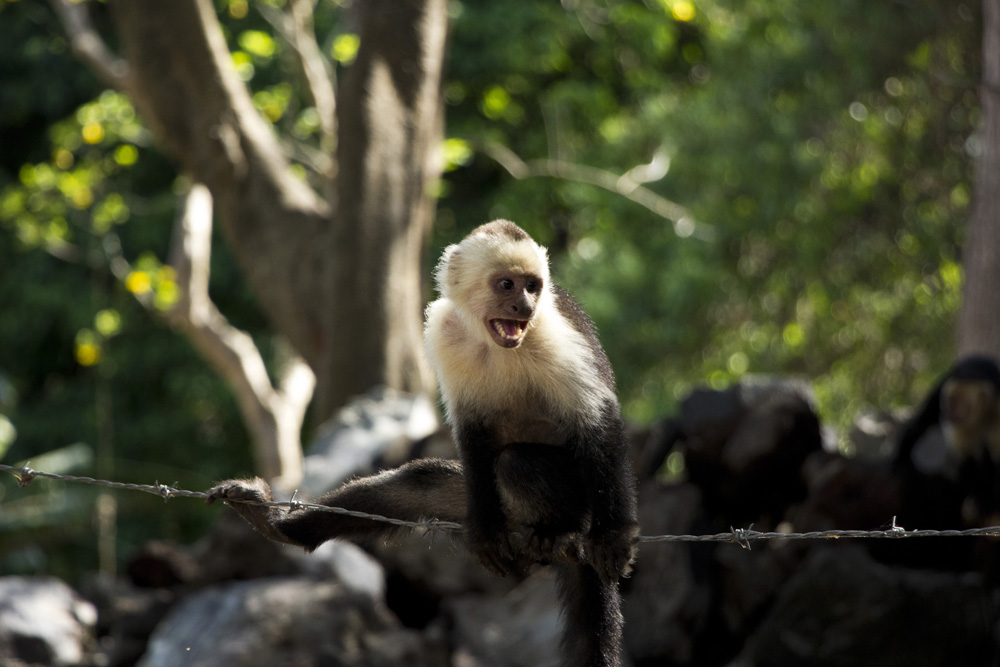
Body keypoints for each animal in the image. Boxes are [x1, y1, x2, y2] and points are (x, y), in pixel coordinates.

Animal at [206, 220, 636, 667]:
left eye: (533, 287)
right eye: (507, 285)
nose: (524, 306)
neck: (493, 339)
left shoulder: (556, 335)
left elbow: (597, 424)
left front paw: (613, 536)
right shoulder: (445, 334)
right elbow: (471, 434)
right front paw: (485, 533)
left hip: (581, 498)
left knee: (518, 464)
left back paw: (563, 530)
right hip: (494, 507)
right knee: (418, 484)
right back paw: (279, 527)